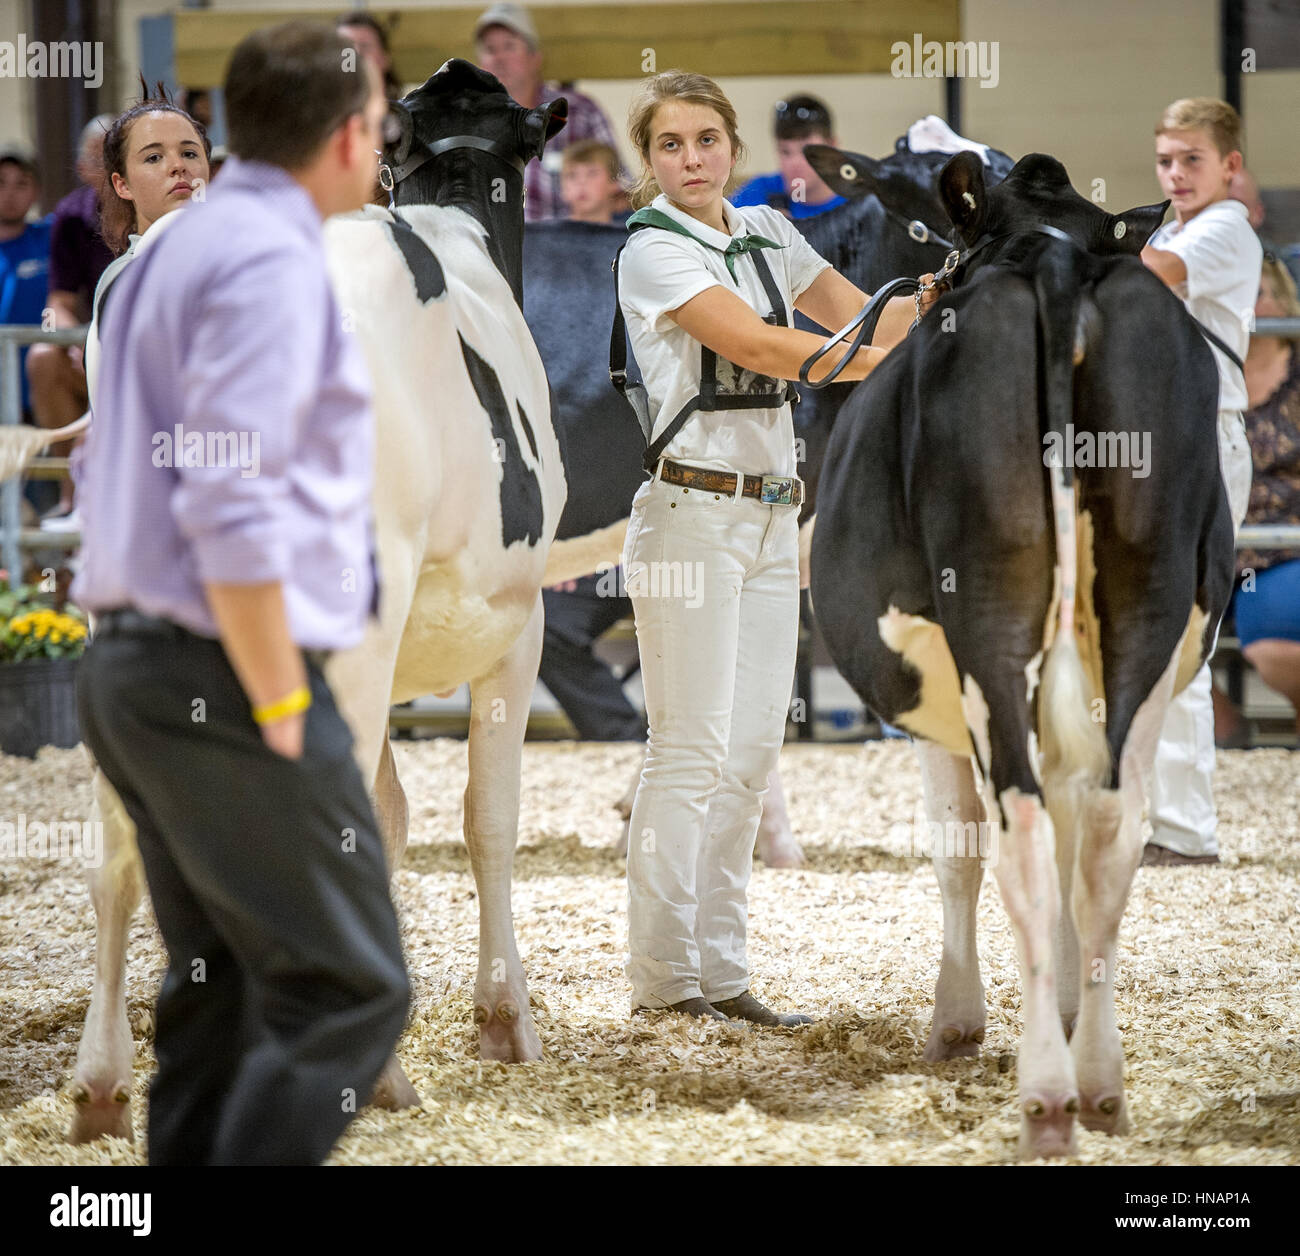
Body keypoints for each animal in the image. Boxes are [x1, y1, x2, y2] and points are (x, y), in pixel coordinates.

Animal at [806, 152, 1232, 1164]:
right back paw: (1100, 1084)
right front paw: (1071, 1012)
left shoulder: (933, 691)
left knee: (1024, 832)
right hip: (1152, 608)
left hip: (986, 624)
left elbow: (956, 843)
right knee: (1108, 826)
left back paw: (1046, 1097)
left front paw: (957, 1024)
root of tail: (1058, 267)